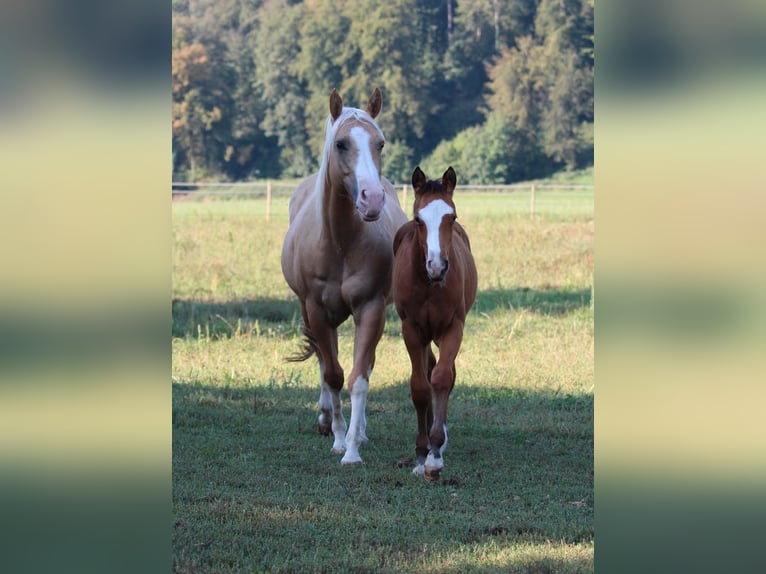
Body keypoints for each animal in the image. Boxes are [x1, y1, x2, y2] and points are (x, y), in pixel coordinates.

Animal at [282, 89, 412, 468]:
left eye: (380, 143)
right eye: (341, 143)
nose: (373, 198)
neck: (339, 242)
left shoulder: (370, 309)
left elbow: (359, 378)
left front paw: (353, 447)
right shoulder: (317, 311)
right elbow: (333, 374)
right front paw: (339, 439)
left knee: (361, 365)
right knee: (325, 362)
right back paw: (326, 419)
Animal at [392, 165, 476, 482]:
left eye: (452, 216)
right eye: (419, 219)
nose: (437, 266)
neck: (429, 285)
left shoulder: (453, 328)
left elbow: (441, 379)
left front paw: (435, 456)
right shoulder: (412, 330)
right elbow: (420, 386)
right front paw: (420, 452)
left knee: (444, 374)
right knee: (427, 371)